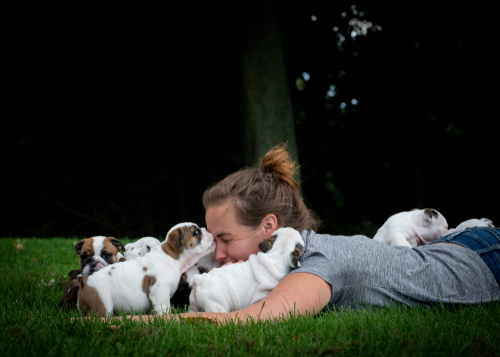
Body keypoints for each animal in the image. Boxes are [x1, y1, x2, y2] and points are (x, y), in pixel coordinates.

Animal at [76, 221, 215, 316]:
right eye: (196, 232)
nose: (207, 230)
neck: (171, 257)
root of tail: (85, 281)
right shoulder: (159, 291)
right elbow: (163, 309)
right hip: (102, 303)